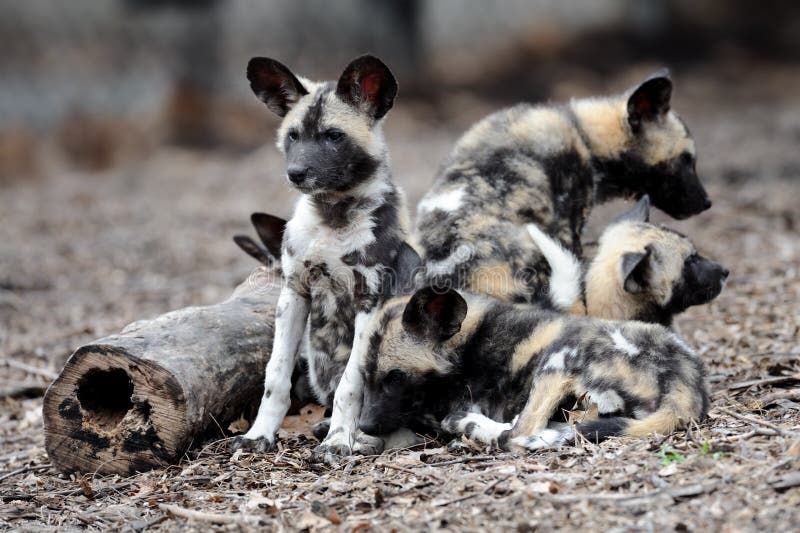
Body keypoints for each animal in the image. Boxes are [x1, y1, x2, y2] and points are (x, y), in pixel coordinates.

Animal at [228, 53, 410, 462]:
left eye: (334, 136)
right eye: (293, 136)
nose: (295, 173)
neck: (332, 217)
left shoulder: (369, 304)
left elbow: (350, 386)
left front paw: (340, 441)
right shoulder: (293, 294)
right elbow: (275, 377)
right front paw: (259, 434)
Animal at [360, 250, 708, 448]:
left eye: (395, 378)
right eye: (365, 377)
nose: (364, 425)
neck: (466, 347)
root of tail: (685, 380)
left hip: (559, 358)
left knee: (517, 435)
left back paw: (470, 425)